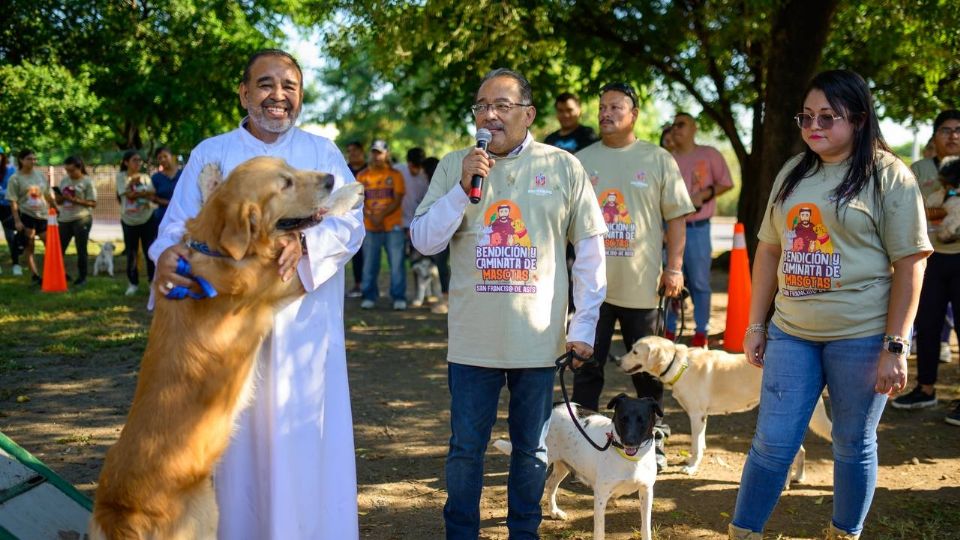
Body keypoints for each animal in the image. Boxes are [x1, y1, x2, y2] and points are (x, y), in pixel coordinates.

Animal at [496, 392, 660, 540]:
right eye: (622, 419)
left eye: (642, 420)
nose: (629, 442)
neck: (631, 460)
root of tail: (554, 405)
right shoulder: (601, 496)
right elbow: (599, 531)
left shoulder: (647, 491)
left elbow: (645, 527)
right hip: (543, 460)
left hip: (564, 465)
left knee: (551, 484)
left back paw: (554, 512)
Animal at [620, 336, 828, 484]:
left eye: (635, 352)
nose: (618, 362)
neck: (679, 364)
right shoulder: (703, 417)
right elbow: (701, 444)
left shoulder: (696, 416)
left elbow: (695, 447)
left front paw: (691, 468)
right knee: (800, 451)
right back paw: (799, 477)